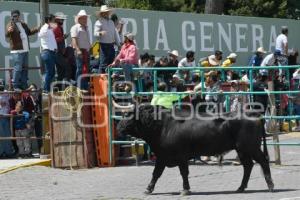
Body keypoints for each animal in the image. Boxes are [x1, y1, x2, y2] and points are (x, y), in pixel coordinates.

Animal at [117, 104, 274, 195]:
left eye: (129, 115)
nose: (118, 128)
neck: (163, 125)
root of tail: (255, 114)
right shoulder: (162, 156)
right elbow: (156, 173)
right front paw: (149, 188)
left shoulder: (179, 156)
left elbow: (183, 173)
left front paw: (185, 189)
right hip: (242, 150)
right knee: (248, 166)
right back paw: (241, 187)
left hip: (250, 147)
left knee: (263, 162)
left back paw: (271, 186)